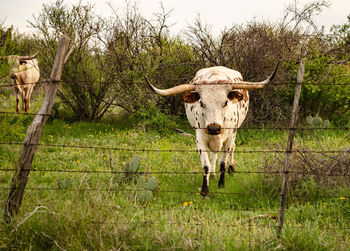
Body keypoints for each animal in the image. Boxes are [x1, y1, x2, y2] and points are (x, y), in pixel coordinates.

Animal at [146, 62, 278, 196]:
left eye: (225, 102)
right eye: (202, 103)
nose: (214, 128)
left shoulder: (229, 137)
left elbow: (223, 162)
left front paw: (221, 184)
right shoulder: (200, 138)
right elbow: (206, 165)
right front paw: (205, 190)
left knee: (232, 148)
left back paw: (231, 169)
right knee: (213, 154)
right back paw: (214, 175)